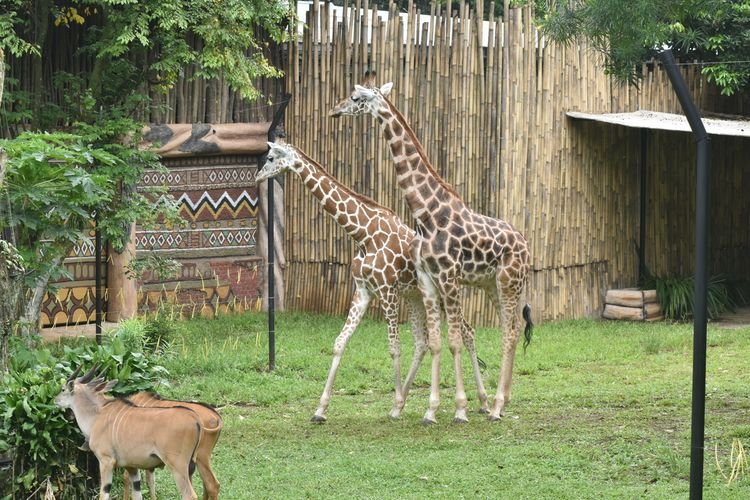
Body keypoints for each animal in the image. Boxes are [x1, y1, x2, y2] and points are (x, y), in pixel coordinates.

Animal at [55, 368, 203, 500]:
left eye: (63, 389)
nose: (55, 400)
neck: (97, 415)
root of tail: (195, 419)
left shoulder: (106, 461)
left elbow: (104, 494)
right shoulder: (131, 467)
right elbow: (137, 494)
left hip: (177, 466)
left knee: (190, 495)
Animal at [258, 142, 488, 422]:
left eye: (271, 158)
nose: (257, 176)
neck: (362, 234)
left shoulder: (386, 290)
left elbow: (394, 347)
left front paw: (397, 402)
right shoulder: (363, 290)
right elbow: (339, 343)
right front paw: (320, 409)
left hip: (443, 295)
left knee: (467, 332)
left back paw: (481, 402)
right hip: (416, 298)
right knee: (422, 343)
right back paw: (407, 400)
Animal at [330, 80, 536, 424]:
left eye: (356, 97)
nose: (335, 110)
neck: (427, 213)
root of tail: (526, 246)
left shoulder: (449, 277)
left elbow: (453, 341)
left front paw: (460, 409)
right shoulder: (427, 279)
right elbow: (436, 342)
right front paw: (431, 409)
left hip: (509, 281)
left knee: (509, 333)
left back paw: (495, 407)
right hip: (493, 284)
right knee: (513, 328)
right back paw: (503, 401)